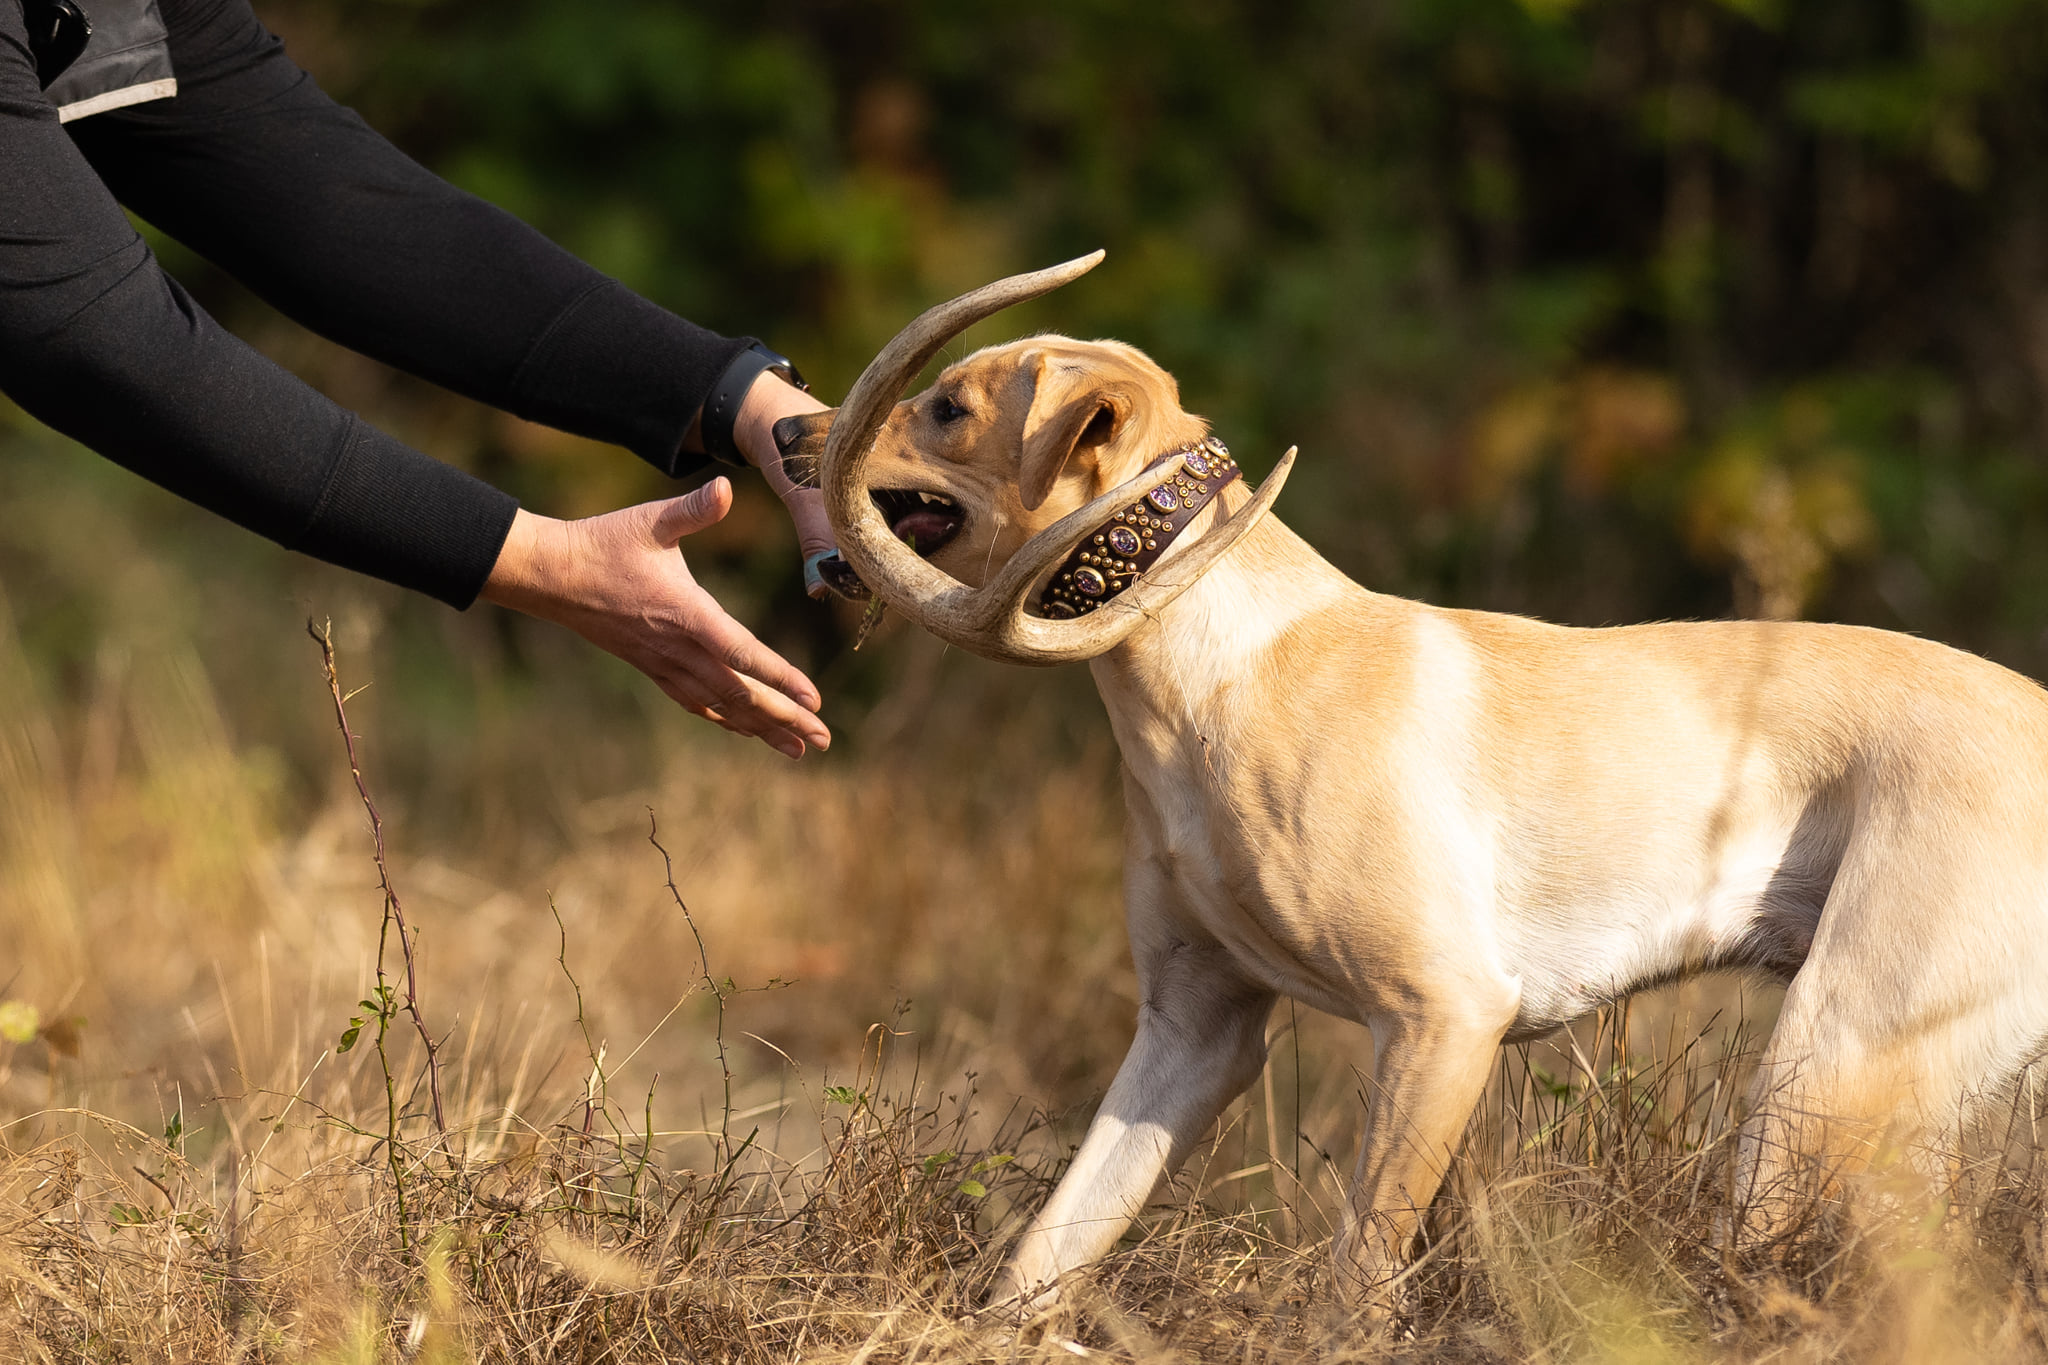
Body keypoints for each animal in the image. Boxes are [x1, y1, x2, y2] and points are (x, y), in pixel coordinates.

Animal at [782, 255, 2048, 1309]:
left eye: (948, 406)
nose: (788, 431)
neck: (1217, 667)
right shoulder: (1194, 1029)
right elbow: (1042, 1255)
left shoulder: (1442, 1017)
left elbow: (1354, 1285)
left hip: (1825, 1072)